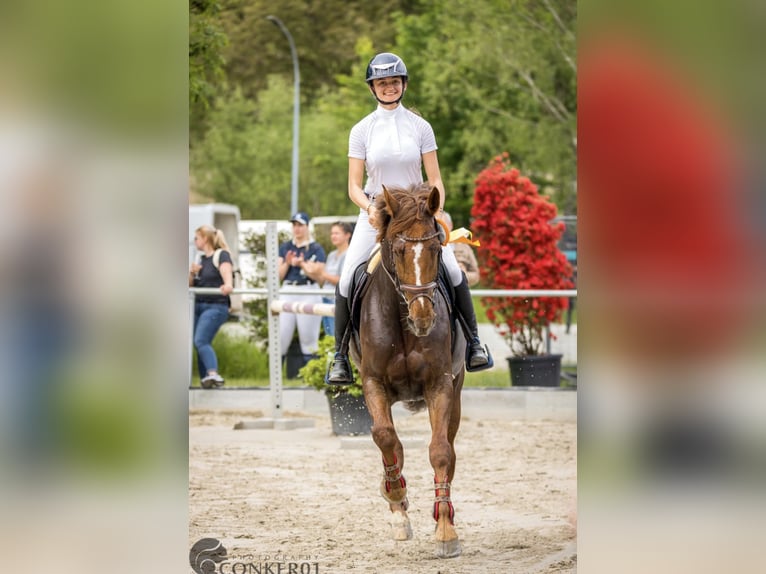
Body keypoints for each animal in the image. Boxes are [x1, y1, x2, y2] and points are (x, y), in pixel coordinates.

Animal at [350, 183, 468, 560]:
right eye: (399, 249)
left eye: (435, 248)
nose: (423, 319)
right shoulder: (373, 382)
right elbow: (386, 437)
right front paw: (396, 495)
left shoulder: (440, 385)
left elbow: (440, 451)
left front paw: (445, 531)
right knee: (391, 444)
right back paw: (398, 508)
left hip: (455, 394)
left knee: (448, 447)